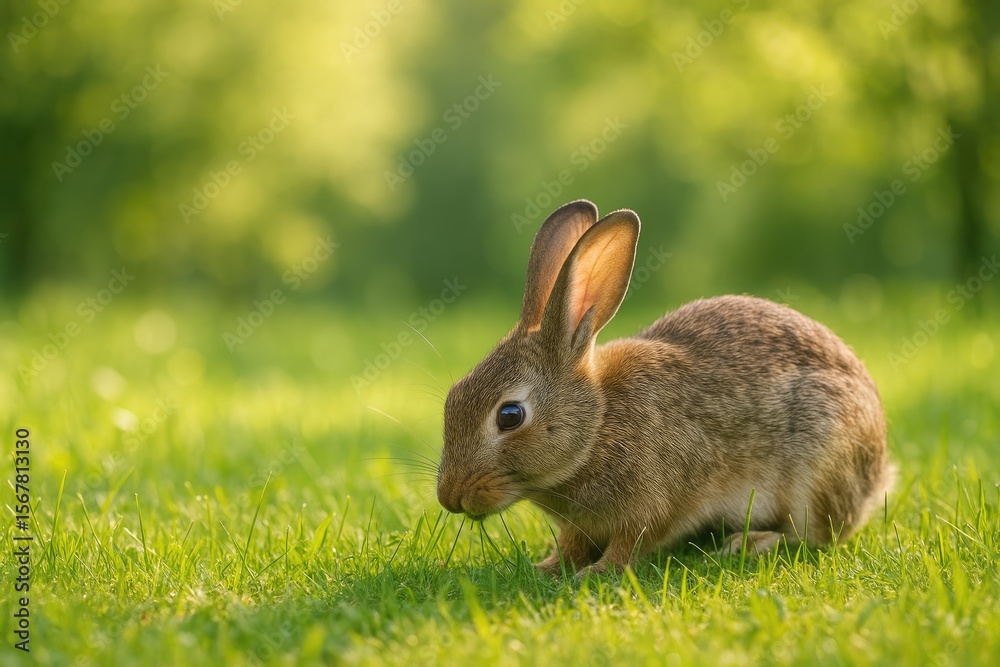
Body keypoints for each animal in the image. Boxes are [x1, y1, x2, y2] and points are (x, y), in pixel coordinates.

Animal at [436, 199, 891, 576]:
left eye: (510, 415)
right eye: (452, 399)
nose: (450, 497)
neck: (598, 423)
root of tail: (879, 472)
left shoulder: (653, 505)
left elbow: (632, 542)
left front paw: (595, 573)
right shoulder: (582, 525)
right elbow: (572, 544)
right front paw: (547, 567)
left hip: (815, 471)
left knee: (814, 535)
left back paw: (748, 542)